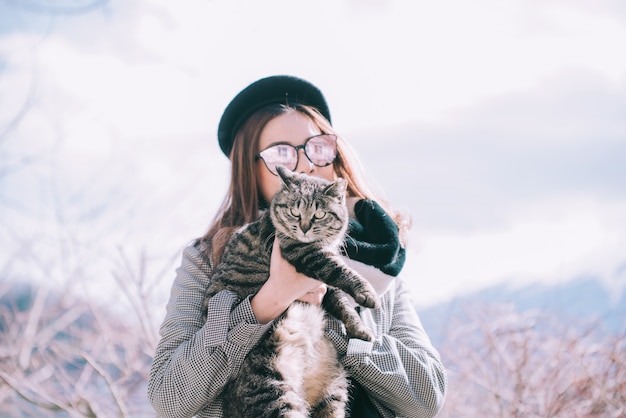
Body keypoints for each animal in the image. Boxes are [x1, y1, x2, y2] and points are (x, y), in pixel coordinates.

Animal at [205, 165, 378, 416]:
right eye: (295, 212)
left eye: (319, 215)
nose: (304, 228)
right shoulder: (306, 255)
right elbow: (342, 271)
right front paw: (368, 294)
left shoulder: (324, 289)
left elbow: (343, 304)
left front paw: (361, 330)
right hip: (274, 392)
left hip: (334, 393)